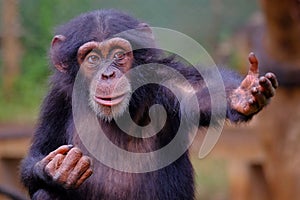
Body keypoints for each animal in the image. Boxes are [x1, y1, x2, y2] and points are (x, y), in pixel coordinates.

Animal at [20, 9, 278, 200]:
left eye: (118, 55)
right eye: (92, 58)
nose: (108, 74)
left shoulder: (166, 79)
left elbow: (204, 93)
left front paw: (242, 95)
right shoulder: (57, 99)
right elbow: (40, 151)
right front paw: (57, 169)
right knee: (46, 194)